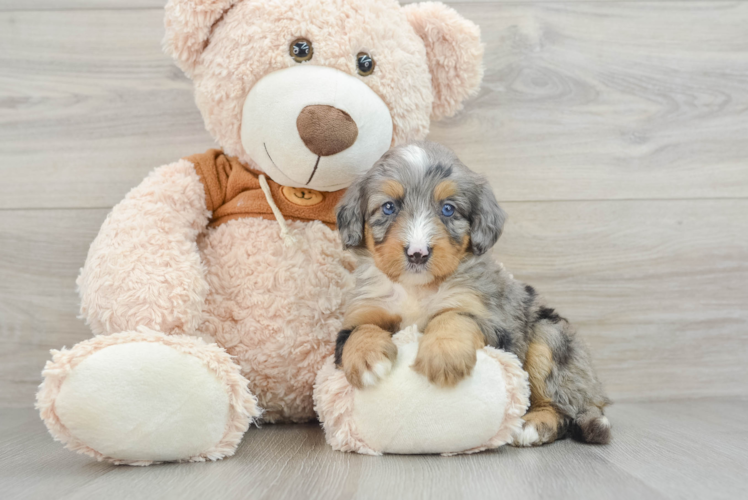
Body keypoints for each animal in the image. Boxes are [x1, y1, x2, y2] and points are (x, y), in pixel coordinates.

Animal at [336, 140, 612, 446]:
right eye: (388, 207)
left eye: (447, 209)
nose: (418, 253)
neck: (416, 289)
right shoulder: (364, 309)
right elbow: (360, 330)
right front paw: (366, 360)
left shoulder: (491, 320)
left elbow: (454, 316)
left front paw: (444, 354)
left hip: (549, 338)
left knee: (562, 407)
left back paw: (533, 425)